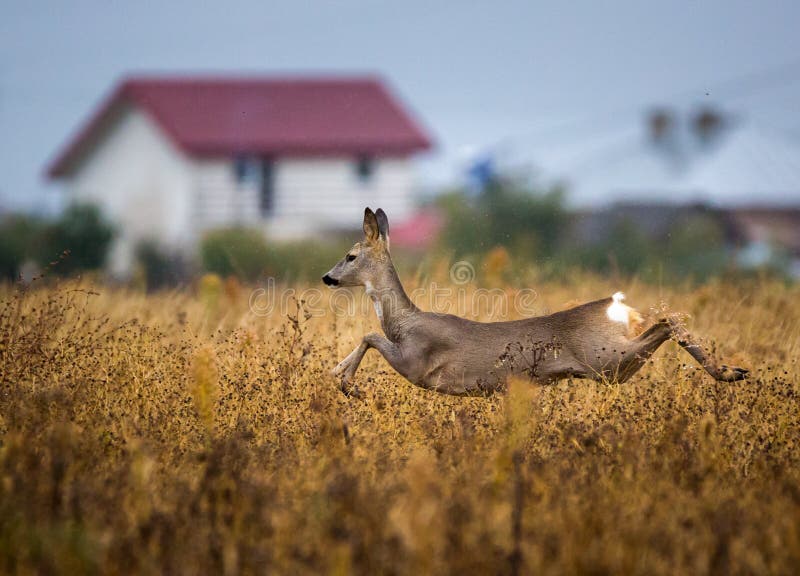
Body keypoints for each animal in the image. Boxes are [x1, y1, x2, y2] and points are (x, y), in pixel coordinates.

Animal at [322, 208, 748, 396]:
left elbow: (369, 336)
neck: (403, 321)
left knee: (668, 320)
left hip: (606, 360)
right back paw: (733, 369)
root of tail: (618, 306)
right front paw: (339, 374)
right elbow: (368, 336)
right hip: (612, 363)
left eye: (350, 255)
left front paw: (346, 382)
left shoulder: (416, 363)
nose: (327, 277)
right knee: (663, 321)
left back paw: (729, 371)